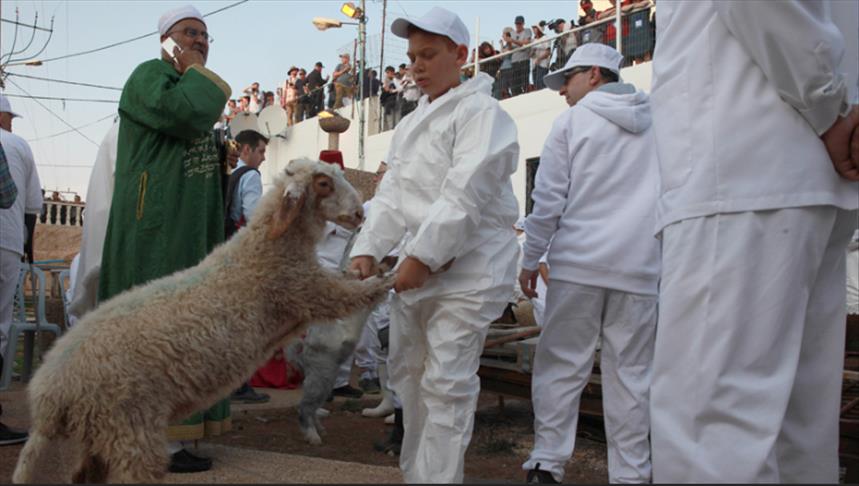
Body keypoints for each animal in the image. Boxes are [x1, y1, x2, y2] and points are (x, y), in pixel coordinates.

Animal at [11, 159, 394, 482]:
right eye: (323, 183)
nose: (359, 214)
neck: (264, 252)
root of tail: (49, 394)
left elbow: (348, 280)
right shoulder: (305, 290)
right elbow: (353, 293)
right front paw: (388, 278)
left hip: (98, 435)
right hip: (129, 427)